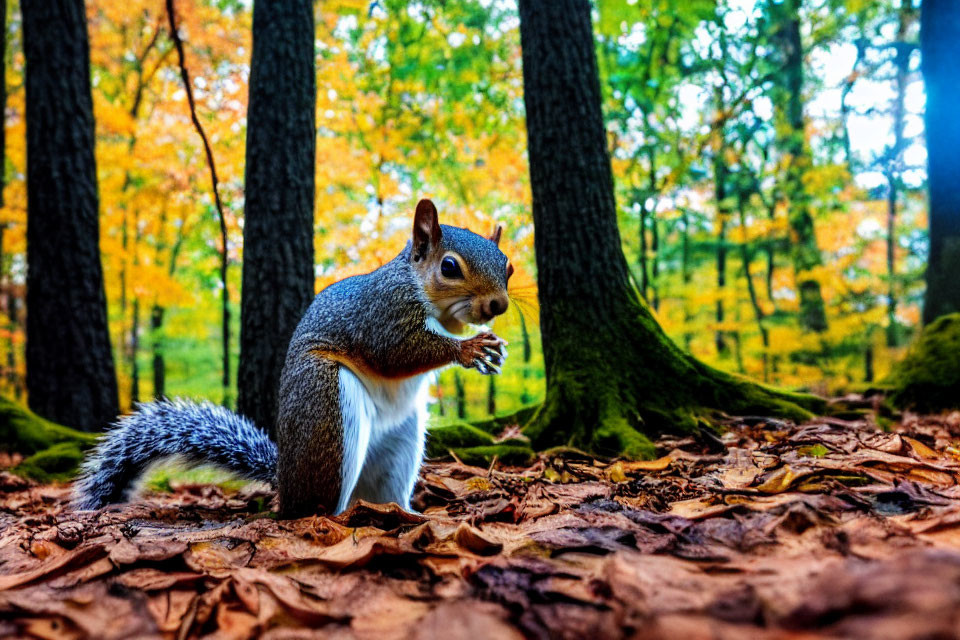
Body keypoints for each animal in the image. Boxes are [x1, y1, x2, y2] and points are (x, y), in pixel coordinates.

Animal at [74, 200, 510, 520]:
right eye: (449, 267)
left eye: (508, 265)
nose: (499, 305)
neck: (417, 287)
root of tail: (286, 482)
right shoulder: (381, 313)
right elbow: (395, 351)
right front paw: (469, 348)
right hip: (328, 404)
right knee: (311, 507)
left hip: (401, 442)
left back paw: (402, 513)